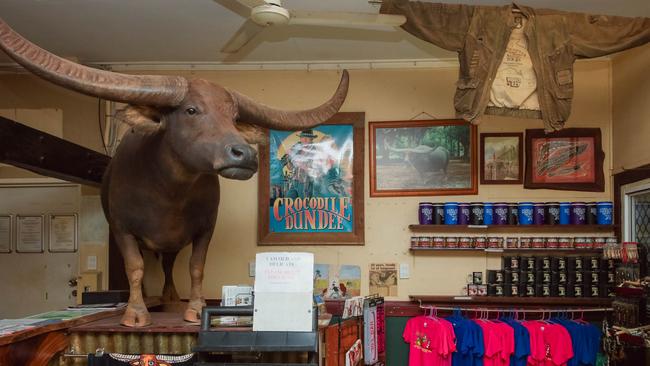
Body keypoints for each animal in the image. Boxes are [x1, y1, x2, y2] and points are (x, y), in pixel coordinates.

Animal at [0, 17, 346, 326]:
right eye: (191, 110)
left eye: (234, 118)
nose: (245, 154)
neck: (170, 192)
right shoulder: (121, 228)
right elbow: (134, 267)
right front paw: (135, 314)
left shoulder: (205, 228)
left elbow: (196, 266)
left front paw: (194, 310)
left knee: (169, 267)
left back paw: (170, 299)